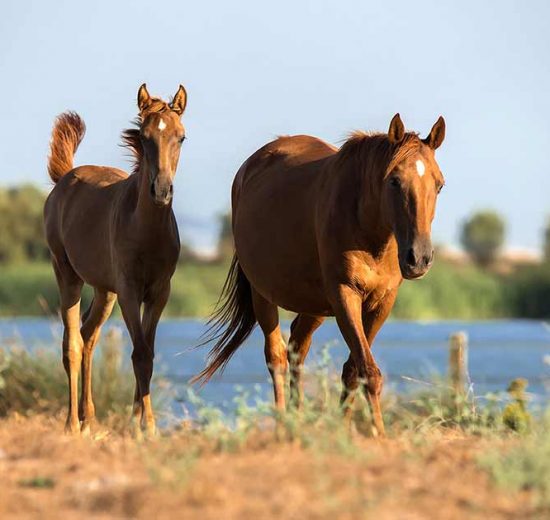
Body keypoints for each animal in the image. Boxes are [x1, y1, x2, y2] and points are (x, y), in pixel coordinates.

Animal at [43, 84, 190, 434]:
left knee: (88, 337)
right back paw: (72, 424)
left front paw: (137, 423)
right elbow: (139, 354)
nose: (161, 191)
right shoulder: (129, 291)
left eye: (181, 137)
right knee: (72, 345)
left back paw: (90, 420)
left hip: (103, 290)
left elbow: (147, 352)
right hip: (67, 274)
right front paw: (147, 427)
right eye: (144, 136)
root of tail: (66, 177)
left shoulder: (159, 293)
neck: (147, 231)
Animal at [196, 112, 446, 434]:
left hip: (314, 305)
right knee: (276, 357)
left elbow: (354, 370)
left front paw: (344, 431)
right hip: (263, 293)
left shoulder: (381, 303)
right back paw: (282, 425)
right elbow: (368, 371)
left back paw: (297, 419)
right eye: (394, 180)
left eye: (438, 185)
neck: (366, 226)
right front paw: (379, 435)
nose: (419, 259)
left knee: (297, 349)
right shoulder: (344, 295)